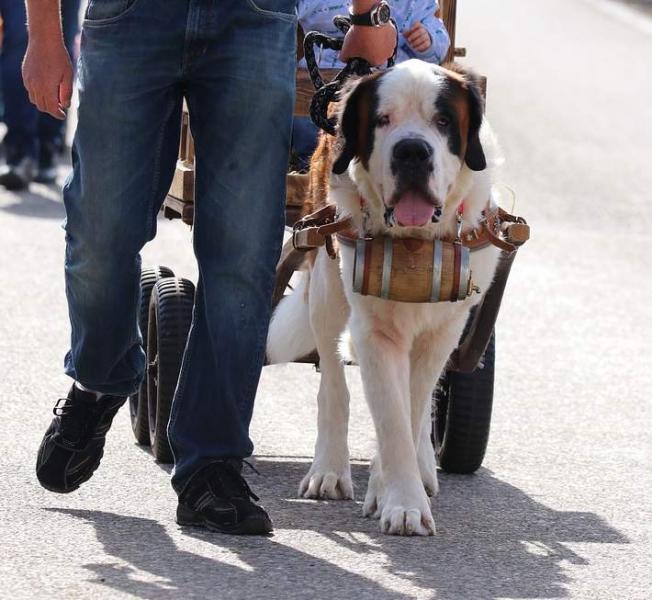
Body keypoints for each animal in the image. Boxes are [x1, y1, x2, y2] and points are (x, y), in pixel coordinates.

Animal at [268, 58, 502, 536]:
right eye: (382, 120)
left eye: (443, 121)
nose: (412, 152)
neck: (415, 243)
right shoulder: (373, 330)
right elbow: (391, 417)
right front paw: (402, 504)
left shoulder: (444, 328)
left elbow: (411, 409)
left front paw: (392, 490)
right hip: (326, 281)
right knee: (332, 382)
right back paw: (329, 470)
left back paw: (424, 467)